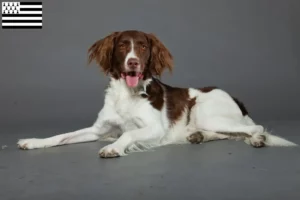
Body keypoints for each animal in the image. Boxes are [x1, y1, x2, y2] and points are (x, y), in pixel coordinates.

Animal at [17, 29, 298, 158]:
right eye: (122, 46)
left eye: (143, 46)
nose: (133, 63)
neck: (128, 94)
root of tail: (236, 99)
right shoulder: (99, 129)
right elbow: (61, 136)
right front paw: (33, 141)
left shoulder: (155, 128)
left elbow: (128, 133)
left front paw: (113, 147)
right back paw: (198, 136)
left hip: (208, 112)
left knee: (254, 127)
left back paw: (258, 140)